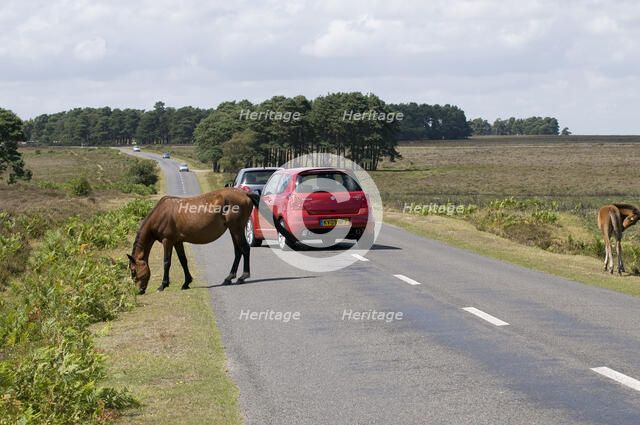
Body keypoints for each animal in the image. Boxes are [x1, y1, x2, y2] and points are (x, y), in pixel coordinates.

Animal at [127, 188, 260, 294]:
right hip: (233, 230)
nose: (139, 291)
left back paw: (243, 276)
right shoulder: (177, 242)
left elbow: (166, 262)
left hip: (236, 228)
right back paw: (229, 278)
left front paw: (163, 285)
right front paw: (186, 282)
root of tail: (245, 193)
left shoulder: (167, 241)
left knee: (245, 248)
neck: (161, 213)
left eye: (133, 271)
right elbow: (183, 261)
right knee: (238, 251)